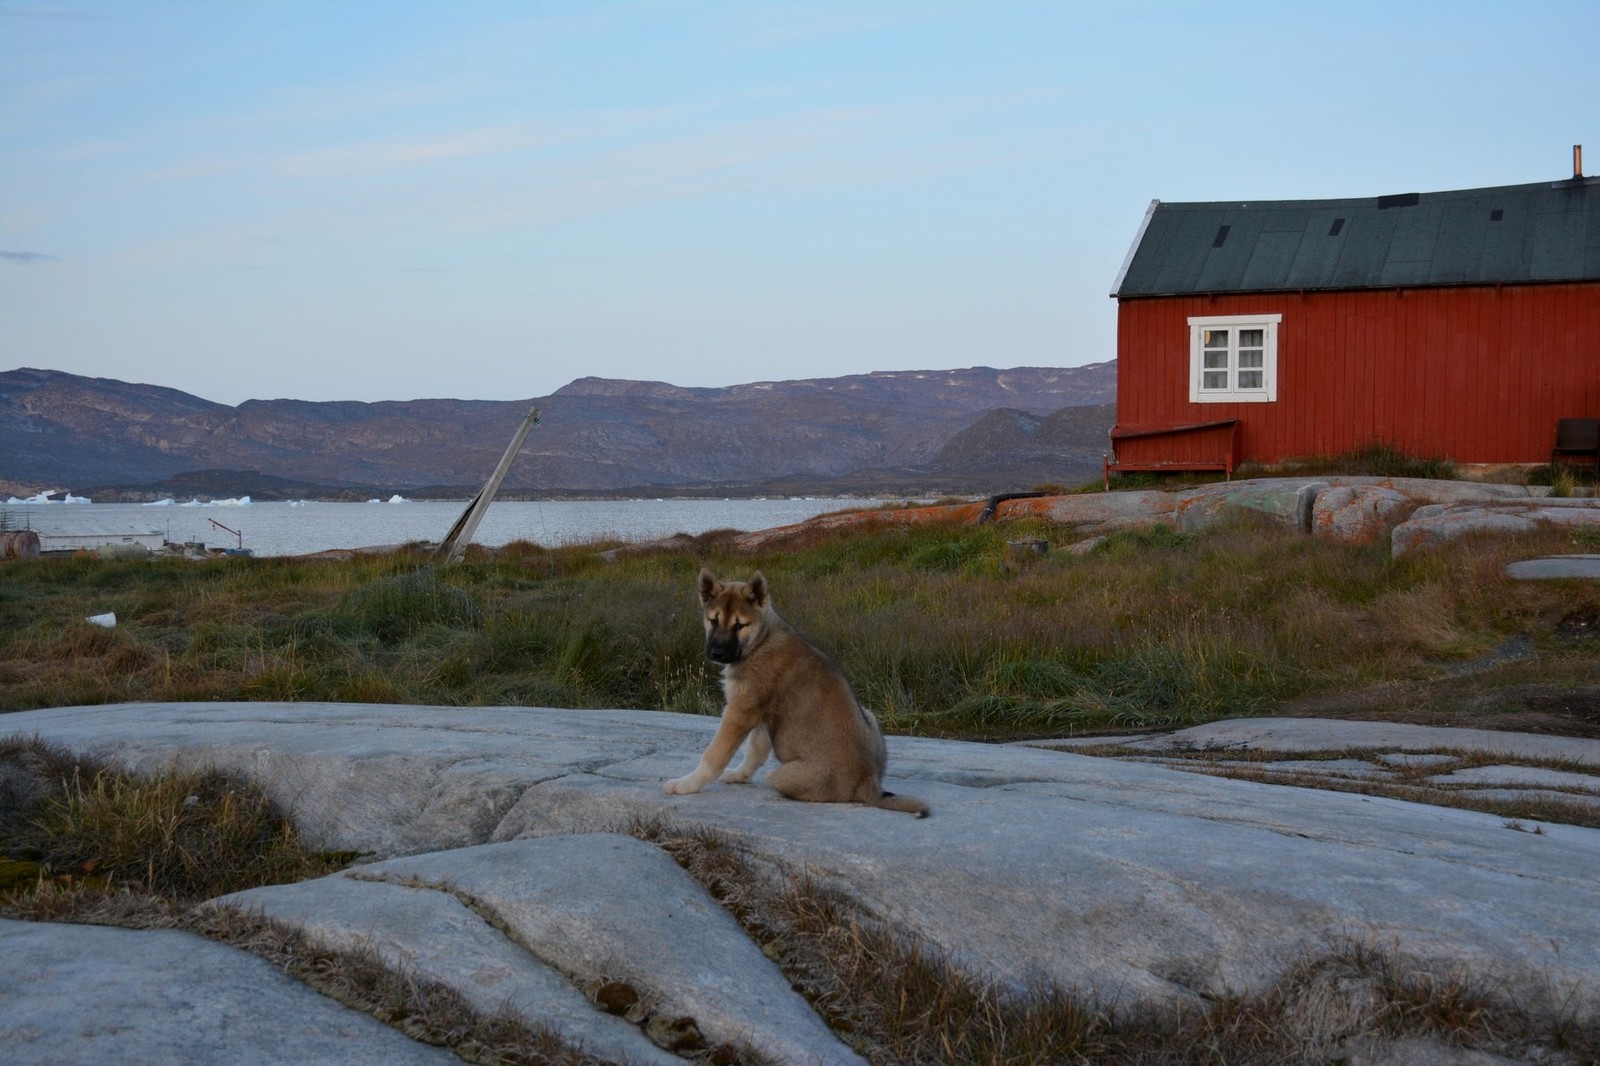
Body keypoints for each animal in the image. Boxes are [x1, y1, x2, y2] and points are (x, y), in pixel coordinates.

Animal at [662, 563, 934, 813]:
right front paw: (739, 776)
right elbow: (754, 752)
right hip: (869, 715)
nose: (716, 653)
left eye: (740, 625)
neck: (760, 641)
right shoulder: (761, 715)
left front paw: (686, 785)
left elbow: (713, 755)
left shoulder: (740, 711)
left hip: (780, 774)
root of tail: (869, 783)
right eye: (713, 620)